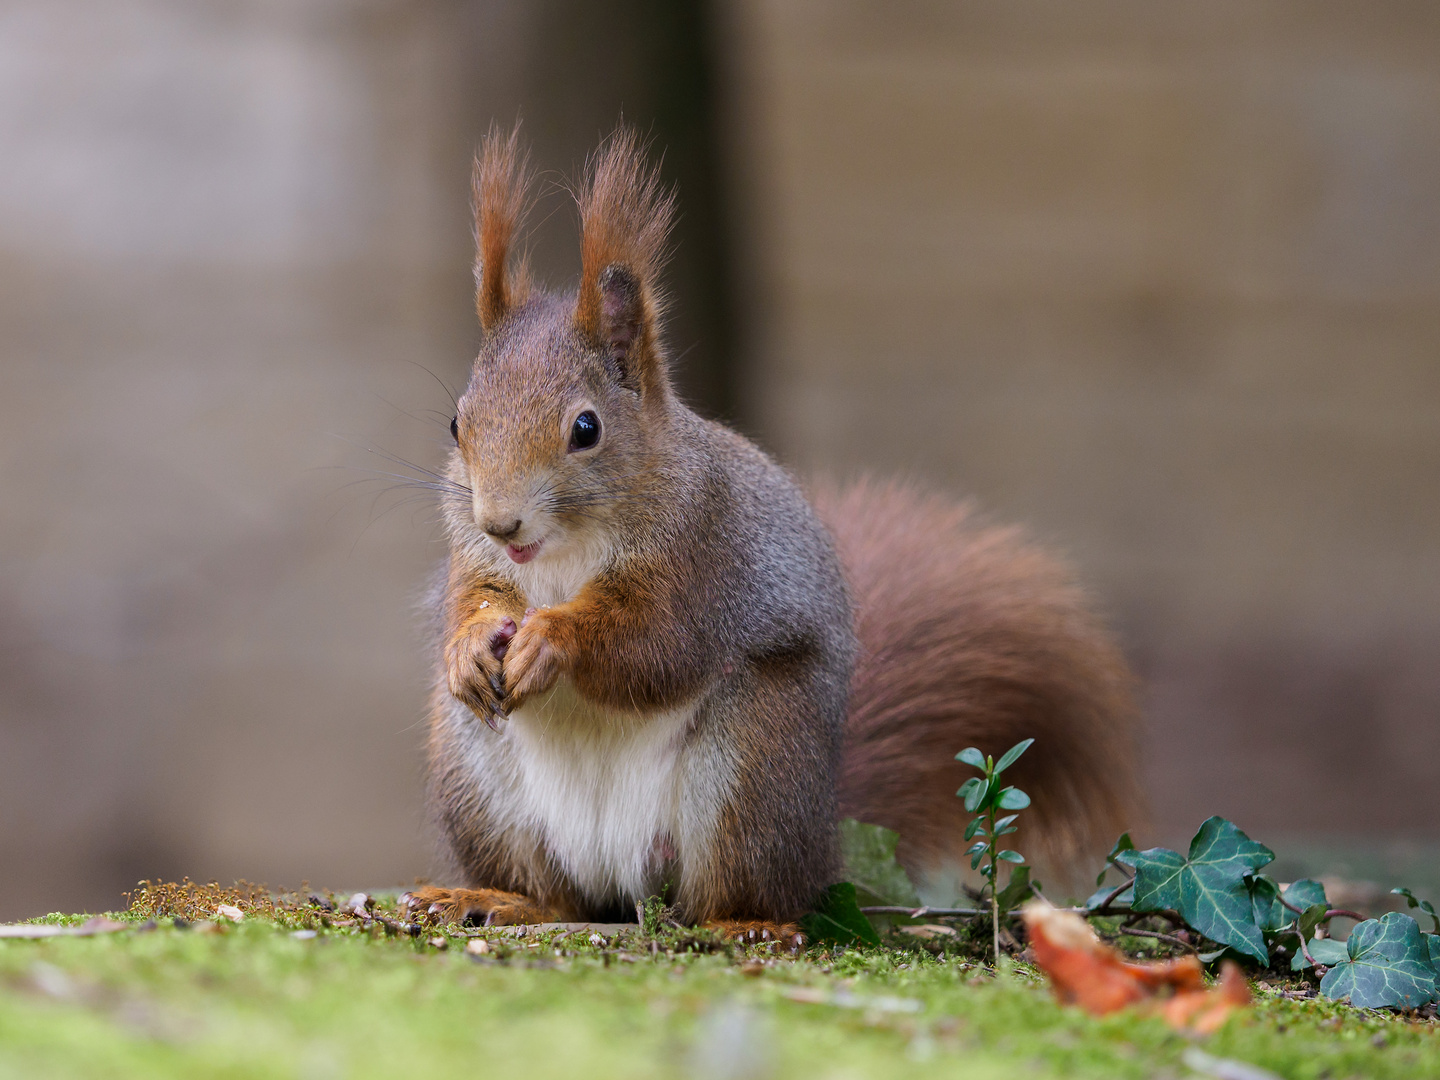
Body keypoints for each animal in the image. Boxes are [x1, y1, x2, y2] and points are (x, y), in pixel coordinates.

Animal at [400, 122, 1140, 944]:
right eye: (457, 424)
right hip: (476, 776)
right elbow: (474, 596)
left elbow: (656, 645)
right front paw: (471, 644)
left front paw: (551, 639)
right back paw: (497, 898)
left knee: (741, 891)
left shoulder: (704, 554)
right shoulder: (477, 558)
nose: (501, 521)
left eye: (585, 429)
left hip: (754, 767)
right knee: (562, 899)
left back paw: (745, 925)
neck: (563, 551)